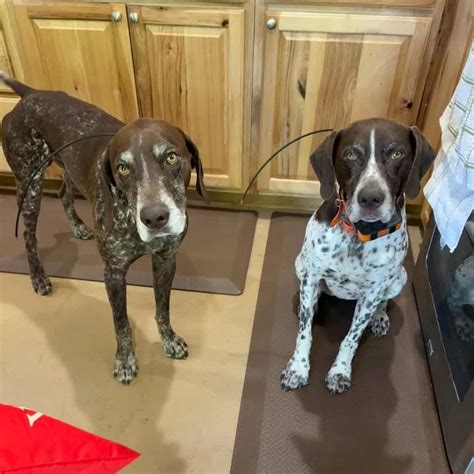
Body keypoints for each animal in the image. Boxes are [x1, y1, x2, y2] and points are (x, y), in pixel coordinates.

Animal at [1, 74, 208, 384]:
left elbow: (163, 308)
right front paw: (124, 361)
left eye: (171, 157)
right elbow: (121, 324)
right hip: (30, 185)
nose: (155, 217)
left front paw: (168, 340)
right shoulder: (113, 274)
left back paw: (78, 227)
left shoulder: (165, 259)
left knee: (63, 195)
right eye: (122, 167)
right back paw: (38, 278)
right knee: (29, 236)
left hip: (67, 170)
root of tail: (30, 94)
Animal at [281, 118, 435, 394]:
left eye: (397, 153)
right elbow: (305, 333)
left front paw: (340, 371)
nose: (371, 198)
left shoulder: (372, 293)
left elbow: (350, 338)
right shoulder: (311, 275)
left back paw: (380, 317)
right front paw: (298, 368)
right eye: (350, 154)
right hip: (300, 264)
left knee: (384, 301)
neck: (359, 234)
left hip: (400, 278)